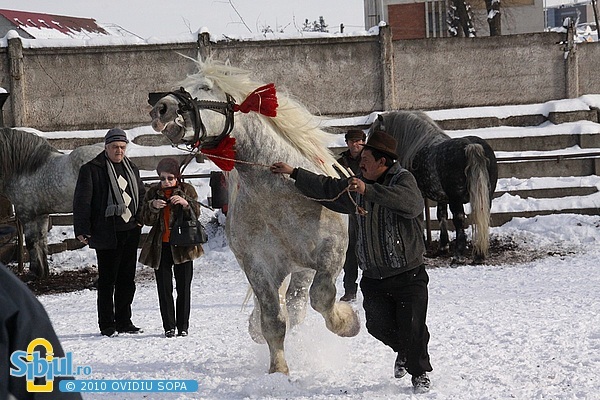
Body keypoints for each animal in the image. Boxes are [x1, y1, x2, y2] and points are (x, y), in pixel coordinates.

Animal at [0, 128, 101, 278]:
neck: (24, 169)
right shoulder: (41, 214)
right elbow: (42, 240)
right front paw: (44, 271)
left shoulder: (26, 214)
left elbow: (31, 242)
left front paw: (35, 271)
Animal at [147, 57, 358, 376]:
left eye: (205, 87)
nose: (161, 108)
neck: (279, 195)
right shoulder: (258, 266)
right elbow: (273, 319)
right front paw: (278, 371)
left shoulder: (331, 252)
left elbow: (322, 296)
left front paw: (349, 322)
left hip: (303, 268)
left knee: (300, 301)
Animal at [370, 111, 496, 264]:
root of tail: (472, 146)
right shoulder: (441, 197)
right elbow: (441, 215)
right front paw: (443, 246)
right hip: (485, 196)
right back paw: (479, 254)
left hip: (456, 199)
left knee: (459, 220)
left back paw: (458, 255)